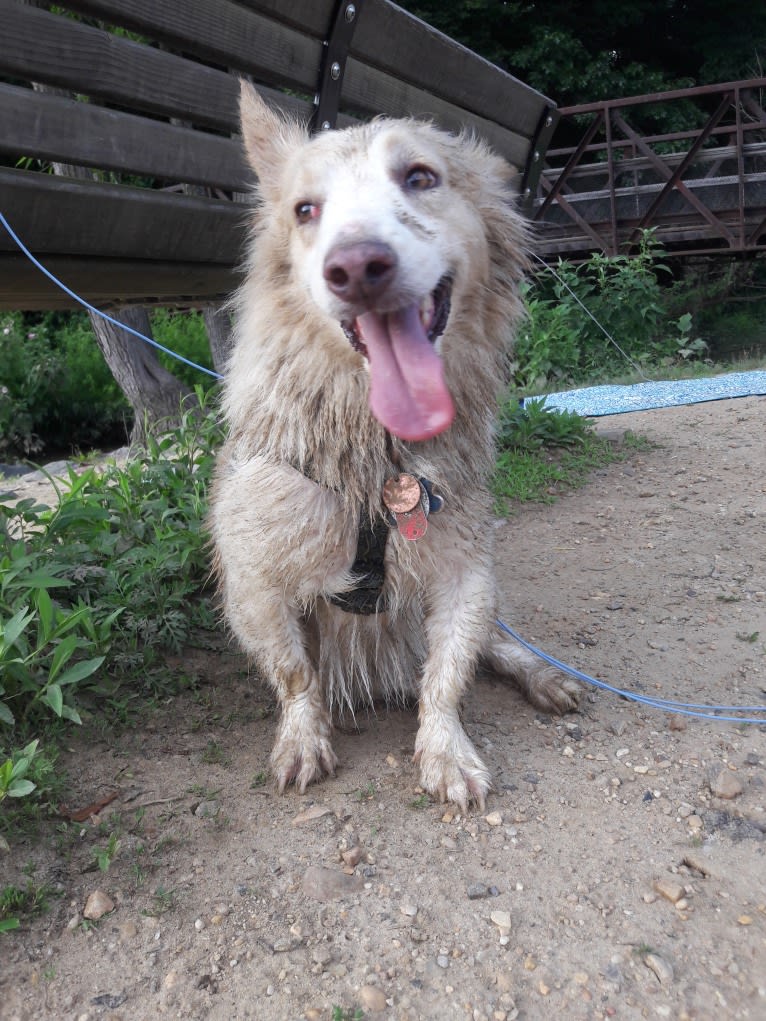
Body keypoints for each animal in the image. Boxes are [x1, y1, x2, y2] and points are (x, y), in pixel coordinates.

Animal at [210, 83, 580, 808]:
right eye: (305, 209)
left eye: (420, 177)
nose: (356, 266)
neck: (379, 460)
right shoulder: (255, 583)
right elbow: (295, 672)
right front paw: (303, 739)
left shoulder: (467, 572)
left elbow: (448, 673)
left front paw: (446, 751)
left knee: (501, 647)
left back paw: (544, 676)